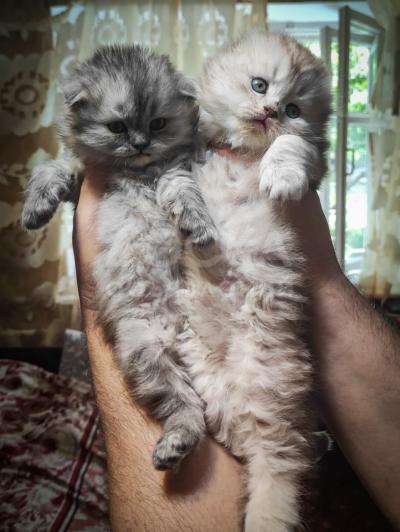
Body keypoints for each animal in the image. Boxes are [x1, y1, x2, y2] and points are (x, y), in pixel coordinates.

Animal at [21, 45, 217, 471]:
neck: (137, 171)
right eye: (117, 127)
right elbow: (51, 167)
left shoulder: (173, 171)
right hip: (145, 352)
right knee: (187, 406)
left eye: (158, 123)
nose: (141, 143)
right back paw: (176, 444)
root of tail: (176, 334)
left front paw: (199, 225)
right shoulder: (80, 179)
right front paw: (35, 209)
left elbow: (183, 190)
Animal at [178, 32, 332, 531]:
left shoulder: (315, 163)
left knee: (280, 465)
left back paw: (266, 513)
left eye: (294, 110)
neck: (244, 152)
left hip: (268, 382)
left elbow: (291, 148)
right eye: (259, 85)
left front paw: (279, 176)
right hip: (211, 379)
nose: (269, 113)